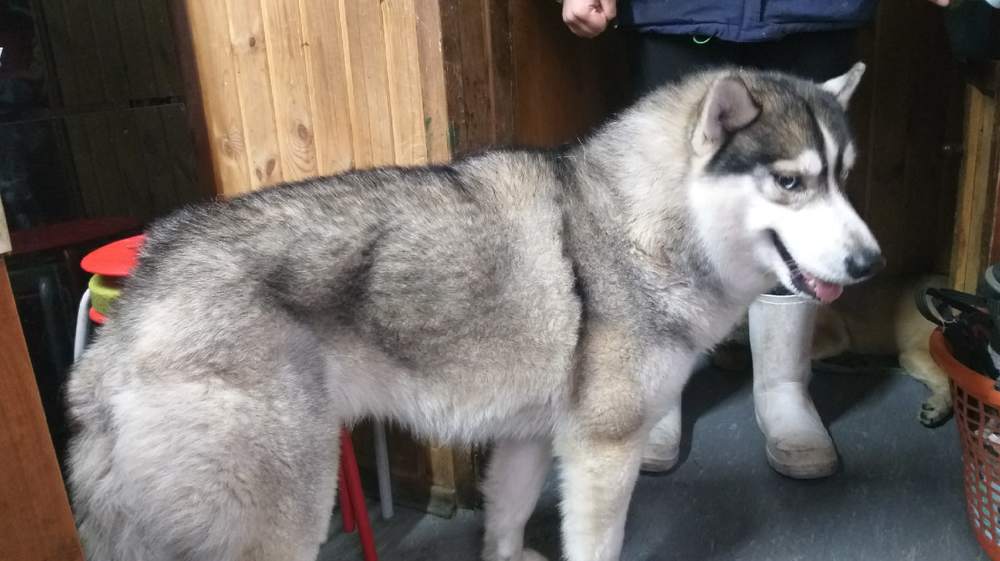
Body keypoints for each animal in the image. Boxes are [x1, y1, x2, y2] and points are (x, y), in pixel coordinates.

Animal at [66, 63, 881, 561]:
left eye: (844, 177)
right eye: (790, 182)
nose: (871, 263)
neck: (638, 224)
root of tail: (142, 294)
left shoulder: (526, 437)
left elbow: (508, 518)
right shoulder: (603, 452)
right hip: (284, 510)